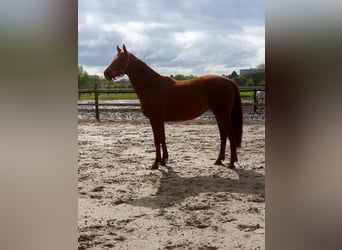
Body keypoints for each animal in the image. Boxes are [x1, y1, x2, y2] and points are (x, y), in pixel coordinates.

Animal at [104, 45, 243, 170]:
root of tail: (229, 81)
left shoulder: (154, 120)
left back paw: (231, 163)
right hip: (218, 115)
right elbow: (162, 138)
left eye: (120, 60)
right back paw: (219, 160)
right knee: (224, 136)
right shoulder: (160, 120)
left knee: (231, 135)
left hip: (223, 114)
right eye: (113, 58)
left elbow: (156, 140)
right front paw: (163, 161)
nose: (106, 73)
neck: (152, 86)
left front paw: (155, 164)